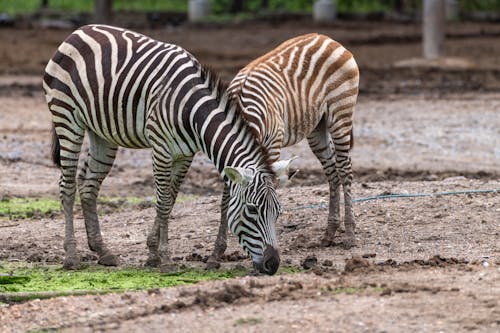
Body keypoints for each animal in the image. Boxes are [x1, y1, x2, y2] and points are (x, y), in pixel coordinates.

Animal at [45, 24, 292, 274]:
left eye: (278, 212)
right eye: (252, 210)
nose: (273, 264)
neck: (192, 111)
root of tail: (78, 31)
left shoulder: (185, 155)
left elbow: (171, 199)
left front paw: (152, 253)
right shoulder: (161, 148)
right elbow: (163, 202)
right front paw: (165, 259)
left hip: (103, 134)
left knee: (89, 186)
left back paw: (103, 251)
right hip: (67, 118)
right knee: (67, 186)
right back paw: (71, 256)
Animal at [207, 33, 360, 268]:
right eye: (249, 211)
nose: (269, 261)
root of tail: (326, 38)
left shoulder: (272, 145)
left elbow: (269, 188)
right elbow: (225, 198)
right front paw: (217, 252)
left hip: (341, 114)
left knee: (345, 170)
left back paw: (350, 235)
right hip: (317, 127)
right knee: (332, 171)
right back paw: (329, 234)